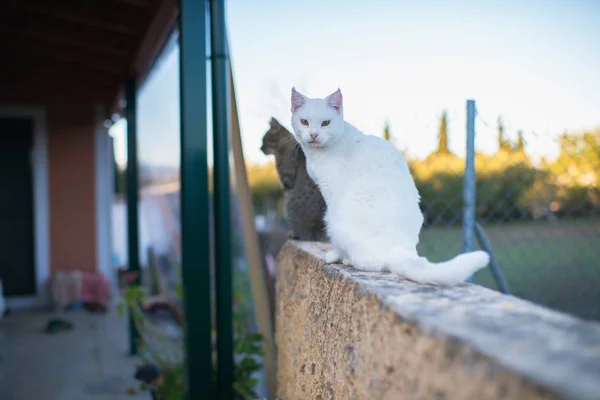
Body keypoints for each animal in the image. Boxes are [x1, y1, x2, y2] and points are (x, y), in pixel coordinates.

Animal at [288, 88, 490, 284]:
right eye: (304, 122)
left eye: (325, 123)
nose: (313, 134)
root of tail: (398, 251)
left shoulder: (331, 193)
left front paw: (332, 255)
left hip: (334, 218)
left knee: (367, 262)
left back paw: (346, 259)